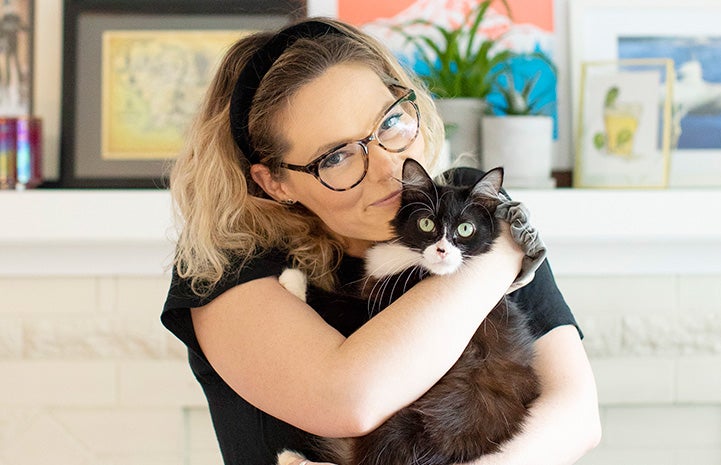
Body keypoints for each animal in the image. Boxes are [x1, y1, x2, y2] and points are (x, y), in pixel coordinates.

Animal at [278, 159, 536, 464]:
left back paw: (294, 458)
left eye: (465, 229)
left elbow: (341, 304)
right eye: (426, 223)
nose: (442, 251)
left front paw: (295, 281)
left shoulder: (375, 311)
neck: (412, 262)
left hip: (421, 426)